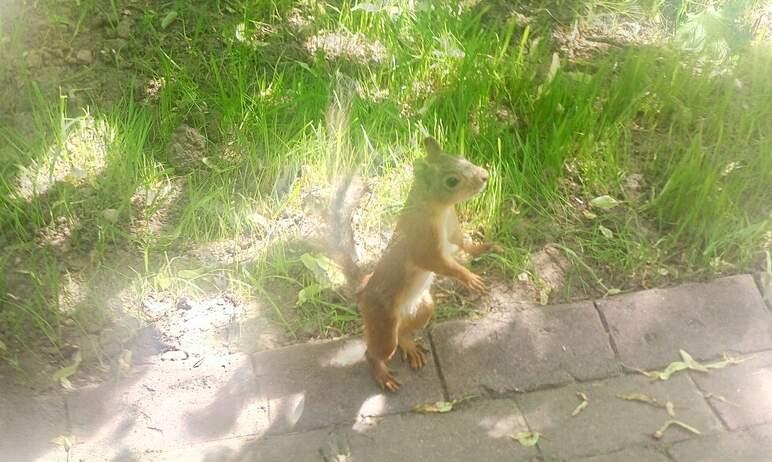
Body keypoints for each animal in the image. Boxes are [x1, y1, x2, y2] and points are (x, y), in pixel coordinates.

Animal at [328, 135, 494, 392]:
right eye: (452, 181)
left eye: (461, 157)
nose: (485, 176)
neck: (439, 208)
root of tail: (363, 289)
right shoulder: (422, 242)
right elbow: (439, 263)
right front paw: (469, 277)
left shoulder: (453, 231)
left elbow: (464, 243)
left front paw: (485, 246)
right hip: (382, 323)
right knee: (375, 351)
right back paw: (382, 374)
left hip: (423, 308)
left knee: (404, 332)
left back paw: (409, 346)